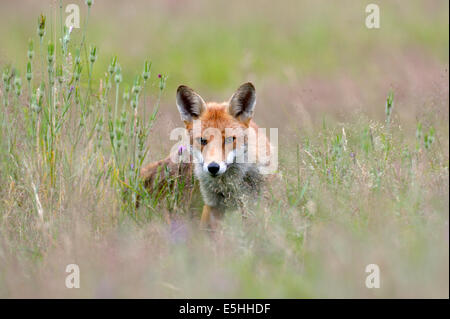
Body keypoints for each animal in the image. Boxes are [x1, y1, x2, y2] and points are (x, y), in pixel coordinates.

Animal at [141, 83, 274, 230]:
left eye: (229, 139)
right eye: (202, 140)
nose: (213, 167)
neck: (230, 187)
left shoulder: (258, 203)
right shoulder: (212, 207)